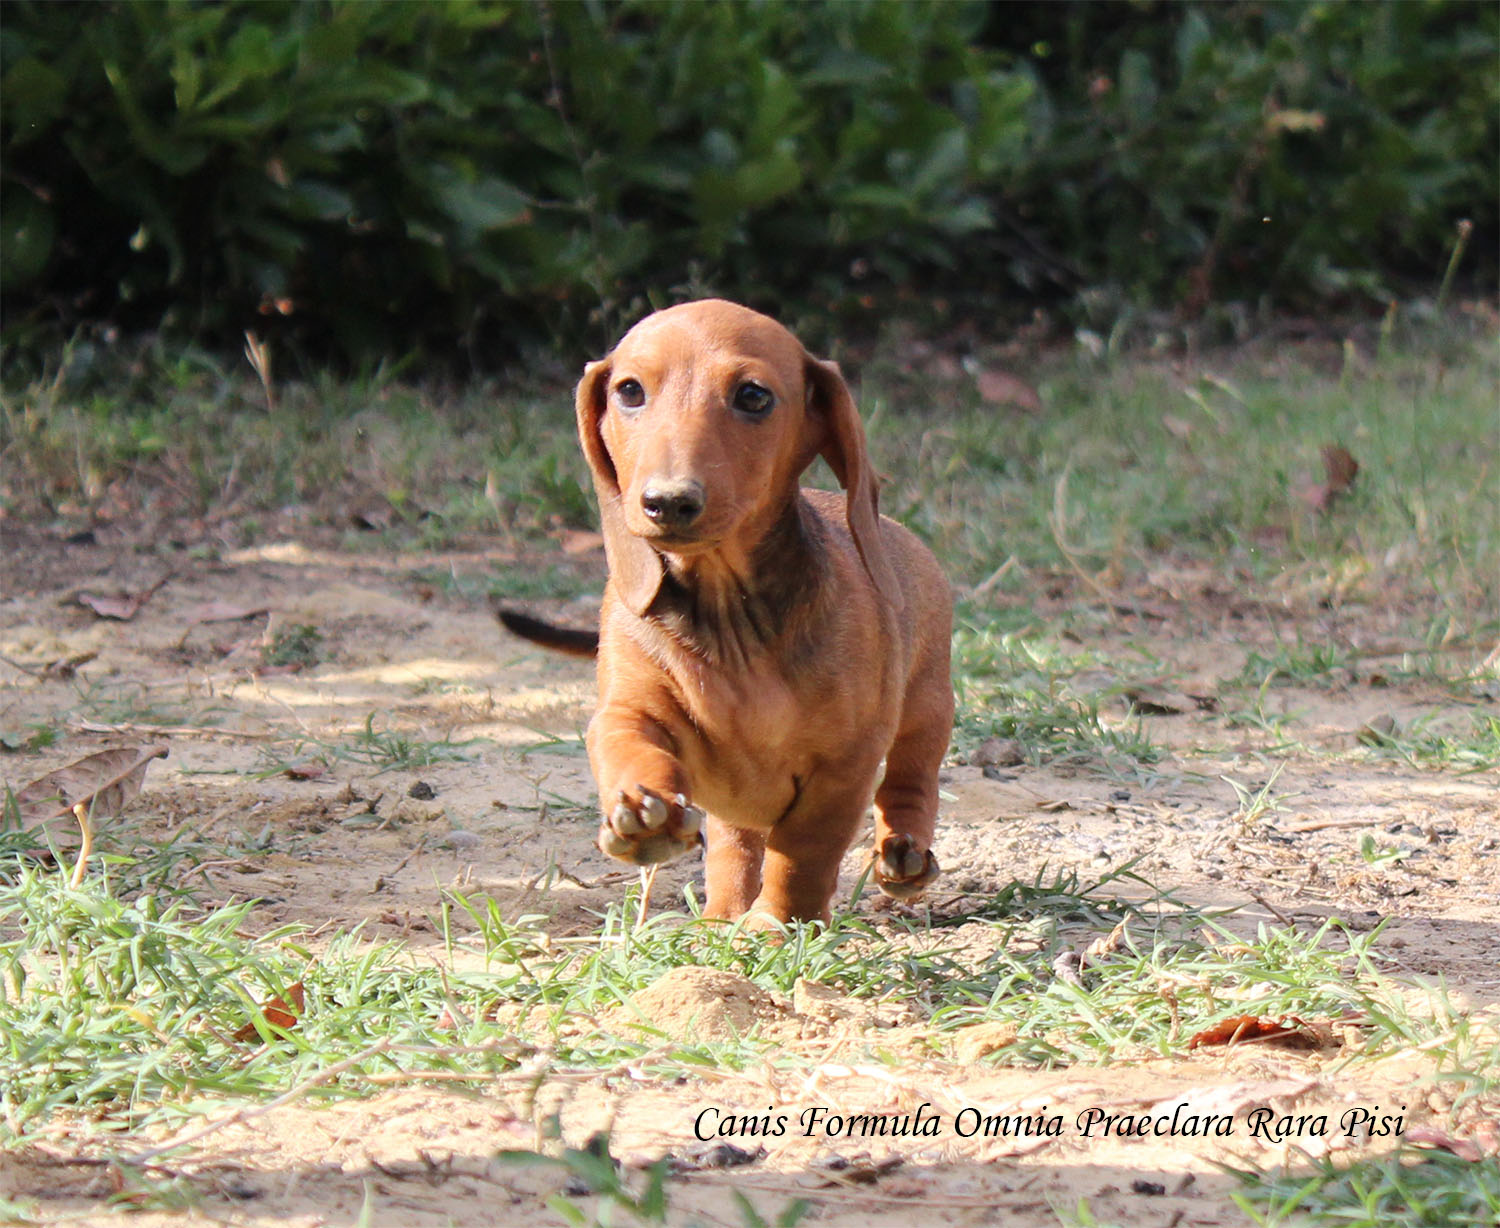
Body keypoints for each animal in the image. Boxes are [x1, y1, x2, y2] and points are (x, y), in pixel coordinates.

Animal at [504, 302, 948, 929]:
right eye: (630, 391)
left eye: (753, 396)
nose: (667, 502)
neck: (729, 613)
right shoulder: (629, 709)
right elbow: (628, 743)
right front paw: (645, 816)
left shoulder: (843, 767)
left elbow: (803, 852)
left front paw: (775, 924)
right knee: (736, 846)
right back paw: (720, 912)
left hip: (927, 705)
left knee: (912, 779)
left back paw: (903, 854)